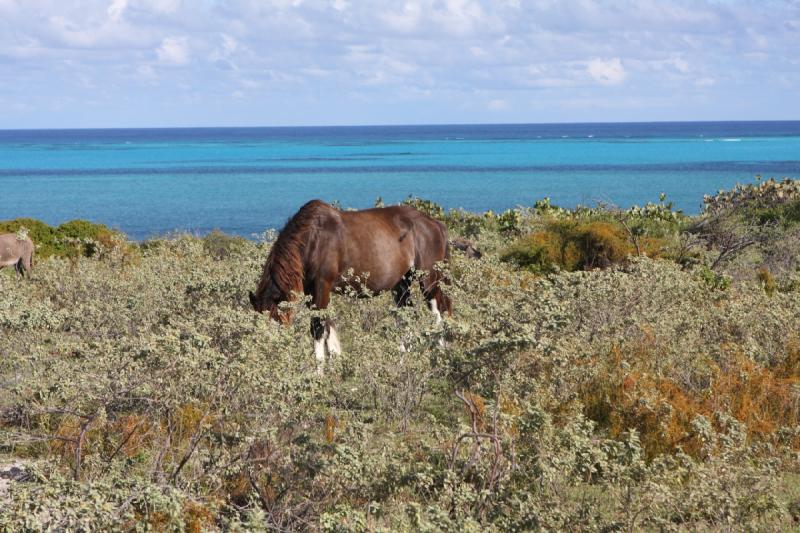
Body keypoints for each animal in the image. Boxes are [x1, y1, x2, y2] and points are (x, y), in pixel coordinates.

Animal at [250, 197, 450, 372]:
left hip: (428, 280)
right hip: (401, 283)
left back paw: (440, 358)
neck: (313, 239)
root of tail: (435, 224)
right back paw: (401, 361)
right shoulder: (312, 291)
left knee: (437, 311)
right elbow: (327, 326)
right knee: (406, 315)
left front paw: (319, 374)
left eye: (276, 325)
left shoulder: (322, 286)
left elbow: (318, 328)